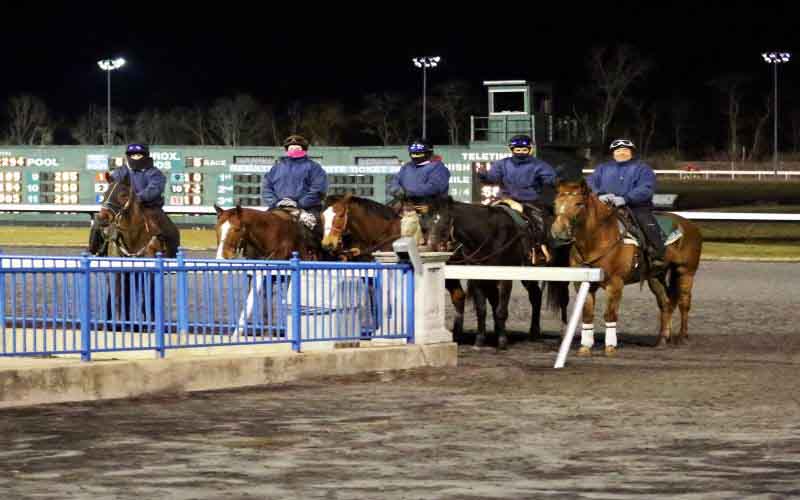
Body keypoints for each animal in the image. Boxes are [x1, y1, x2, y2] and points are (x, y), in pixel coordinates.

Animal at [318, 193, 472, 338]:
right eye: (322, 216)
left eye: (340, 214)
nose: (327, 244)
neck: (381, 235)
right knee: (458, 295)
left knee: (458, 296)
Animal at [424, 197, 568, 350]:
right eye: (428, 221)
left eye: (445, 221)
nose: (431, 245)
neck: (489, 234)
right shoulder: (477, 278)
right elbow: (481, 309)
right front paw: (479, 340)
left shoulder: (505, 278)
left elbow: (501, 310)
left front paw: (502, 341)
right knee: (536, 296)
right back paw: (534, 333)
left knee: (562, 298)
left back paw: (561, 334)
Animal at [552, 180, 700, 356]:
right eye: (556, 203)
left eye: (579, 203)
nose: (558, 231)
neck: (599, 240)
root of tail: (690, 225)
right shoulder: (582, 283)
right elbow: (587, 315)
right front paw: (585, 347)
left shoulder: (615, 284)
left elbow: (610, 314)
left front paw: (610, 347)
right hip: (656, 277)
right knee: (665, 303)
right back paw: (663, 339)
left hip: (685, 272)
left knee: (684, 302)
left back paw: (682, 337)